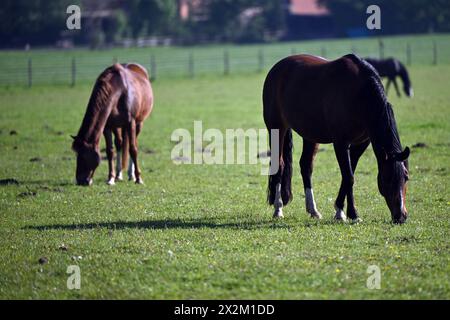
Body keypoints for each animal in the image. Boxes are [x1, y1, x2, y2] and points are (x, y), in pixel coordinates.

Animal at [264, 53, 412, 224]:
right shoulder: (340, 143)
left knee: (306, 166)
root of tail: (278, 68)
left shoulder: (361, 143)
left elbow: (349, 175)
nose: (401, 216)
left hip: (310, 134)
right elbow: (349, 177)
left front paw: (345, 211)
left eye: (406, 177)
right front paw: (348, 213)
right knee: (279, 165)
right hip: (277, 129)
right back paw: (278, 209)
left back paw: (313, 210)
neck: (360, 94)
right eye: (387, 179)